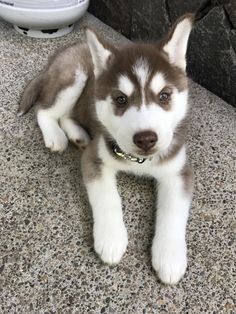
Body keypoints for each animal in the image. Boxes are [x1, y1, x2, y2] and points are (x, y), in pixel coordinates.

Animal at [19, 14, 194, 284]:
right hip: (74, 78)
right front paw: (111, 239)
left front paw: (170, 257)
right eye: (121, 99)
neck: (138, 160)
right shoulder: (95, 158)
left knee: (68, 115)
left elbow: (174, 211)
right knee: (45, 110)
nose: (146, 139)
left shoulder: (178, 171)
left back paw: (78, 135)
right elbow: (107, 198)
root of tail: (65, 51)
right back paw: (56, 136)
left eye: (164, 96)